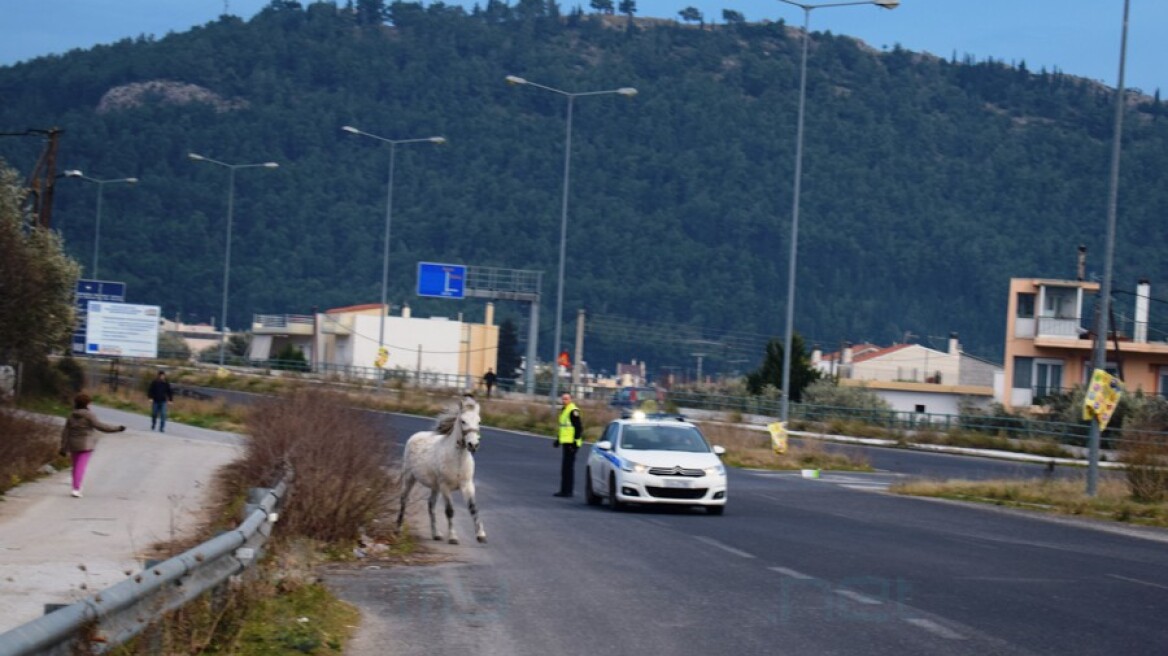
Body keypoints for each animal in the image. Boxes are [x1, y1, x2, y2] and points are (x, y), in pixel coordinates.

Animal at [392, 392, 483, 541]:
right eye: (463, 421)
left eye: (479, 422)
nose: (473, 445)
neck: (458, 460)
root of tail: (415, 436)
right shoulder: (445, 487)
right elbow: (450, 511)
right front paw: (453, 537)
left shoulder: (467, 485)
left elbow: (473, 508)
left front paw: (481, 536)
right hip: (409, 478)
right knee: (404, 500)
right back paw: (398, 530)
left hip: (435, 486)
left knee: (431, 505)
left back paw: (436, 534)